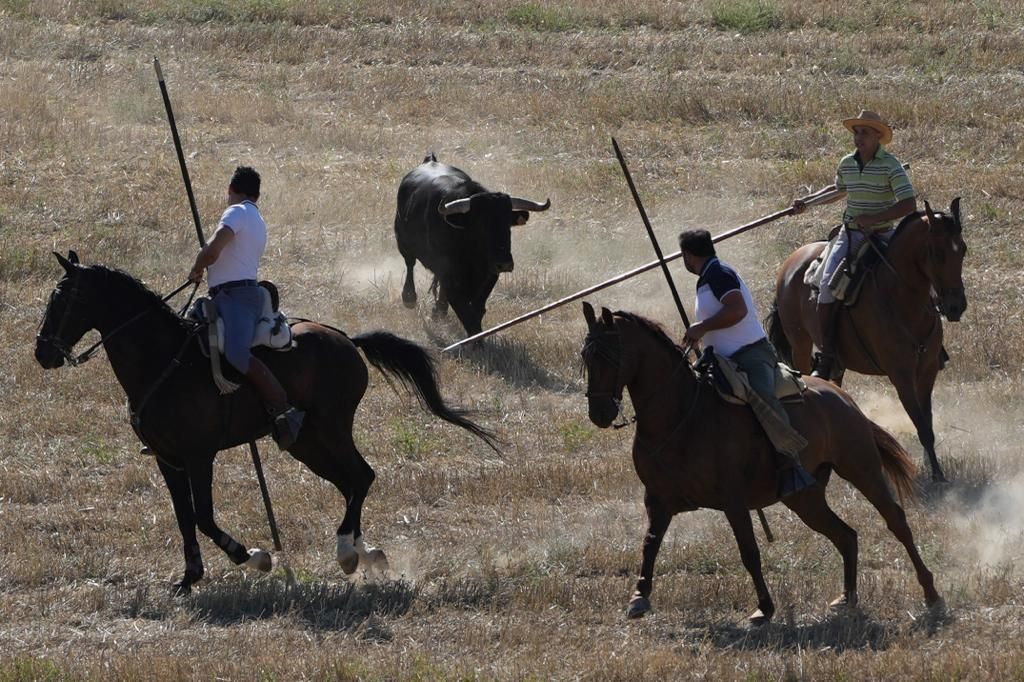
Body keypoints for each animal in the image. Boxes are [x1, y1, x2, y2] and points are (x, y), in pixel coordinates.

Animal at [33, 251, 495, 593]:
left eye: (63, 298)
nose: (42, 353)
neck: (163, 361)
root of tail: (345, 339)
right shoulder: (168, 460)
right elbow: (184, 517)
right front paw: (189, 578)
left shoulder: (199, 456)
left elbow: (203, 516)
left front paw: (254, 556)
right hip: (307, 443)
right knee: (350, 482)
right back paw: (364, 552)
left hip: (332, 429)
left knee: (362, 477)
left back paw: (347, 552)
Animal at [393, 152, 552, 335]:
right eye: (480, 225)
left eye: (508, 224)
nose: (504, 263)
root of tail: (429, 161)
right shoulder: (450, 276)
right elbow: (465, 313)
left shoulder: (489, 275)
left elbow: (477, 309)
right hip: (403, 243)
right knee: (410, 264)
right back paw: (409, 298)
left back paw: (439, 311)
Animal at [585, 301, 942, 622]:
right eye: (587, 358)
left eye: (609, 355)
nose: (599, 413)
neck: (680, 414)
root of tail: (843, 398)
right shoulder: (657, 500)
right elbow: (650, 545)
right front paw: (638, 597)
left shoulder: (733, 501)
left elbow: (749, 552)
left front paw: (764, 608)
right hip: (805, 498)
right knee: (846, 536)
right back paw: (847, 599)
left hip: (861, 469)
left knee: (895, 521)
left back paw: (931, 594)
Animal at [770, 197, 966, 483]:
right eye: (938, 252)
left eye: (962, 250)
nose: (955, 307)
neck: (901, 298)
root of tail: (793, 259)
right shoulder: (901, 375)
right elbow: (919, 422)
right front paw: (937, 476)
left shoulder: (927, 370)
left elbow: (927, 423)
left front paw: (936, 471)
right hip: (800, 343)